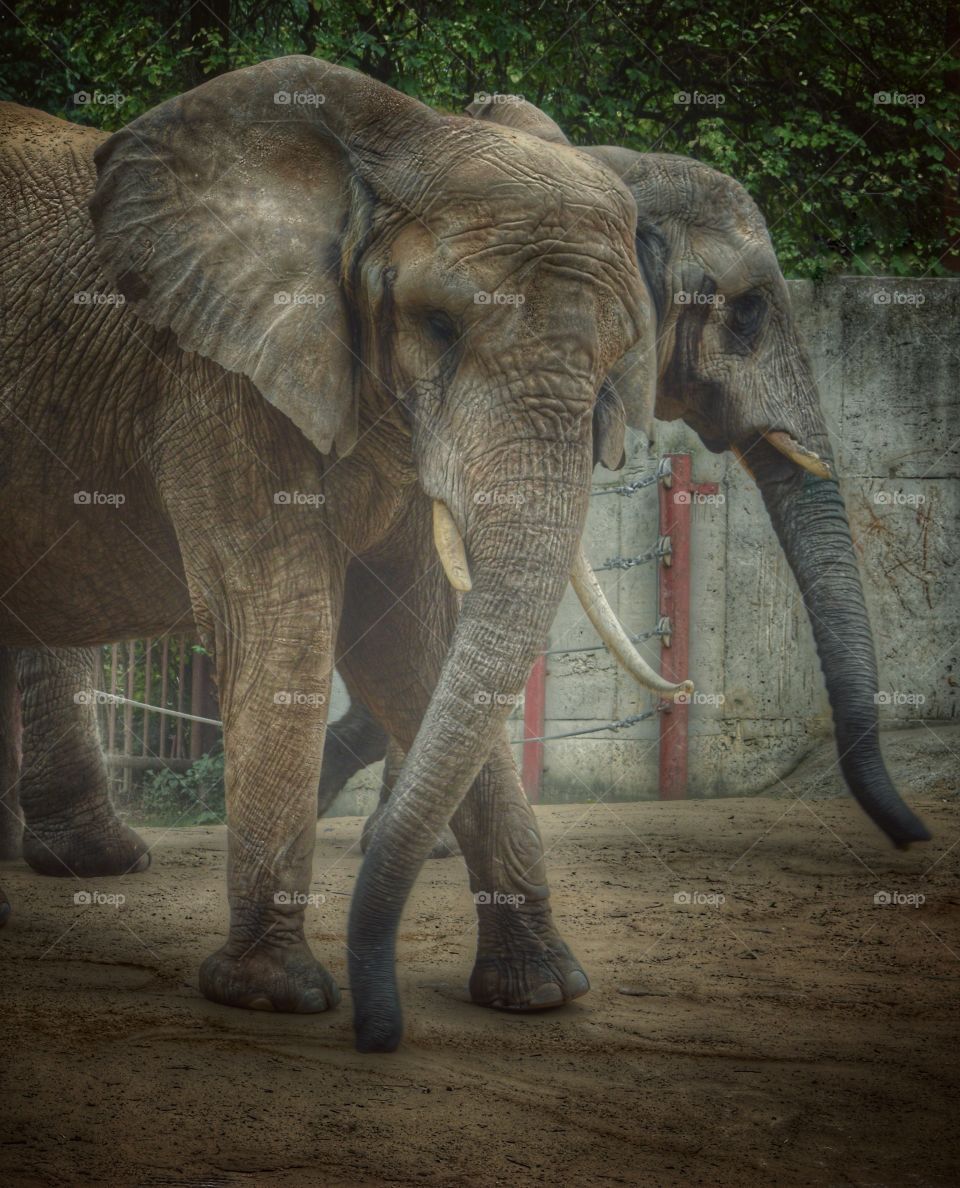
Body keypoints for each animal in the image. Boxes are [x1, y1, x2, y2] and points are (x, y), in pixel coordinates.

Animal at [0, 55, 668, 1050]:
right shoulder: (215, 378)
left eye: (621, 353)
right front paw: (272, 996)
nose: (380, 1029)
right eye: (439, 327)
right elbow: (288, 623)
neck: (389, 148)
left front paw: (543, 991)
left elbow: (407, 644)